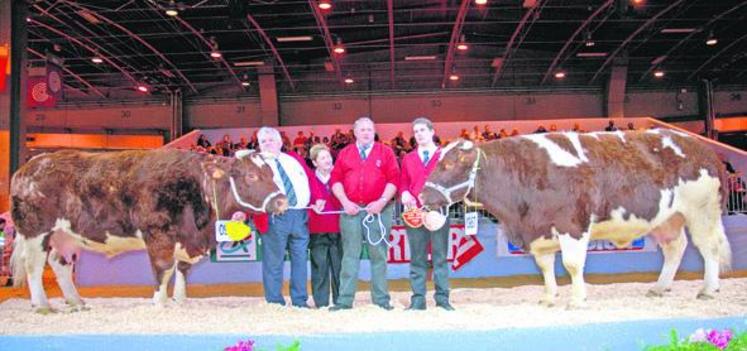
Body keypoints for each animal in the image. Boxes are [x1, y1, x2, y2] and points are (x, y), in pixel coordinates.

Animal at [10, 148, 286, 314]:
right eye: (251, 176)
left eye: (271, 173)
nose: (282, 200)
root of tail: (31, 164)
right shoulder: (158, 233)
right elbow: (164, 268)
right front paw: (160, 303)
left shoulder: (185, 239)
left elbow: (182, 270)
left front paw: (180, 301)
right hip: (36, 230)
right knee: (33, 265)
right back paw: (42, 305)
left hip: (65, 236)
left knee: (60, 263)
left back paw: (76, 302)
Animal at [424, 129, 732, 308]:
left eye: (449, 164)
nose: (424, 196)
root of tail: (702, 147)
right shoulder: (539, 231)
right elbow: (545, 267)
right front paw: (549, 297)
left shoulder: (572, 224)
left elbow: (572, 264)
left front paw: (577, 299)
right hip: (667, 218)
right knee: (675, 248)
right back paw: (659, 287)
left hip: (702, 212)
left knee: (709, 248)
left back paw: (708, 289)